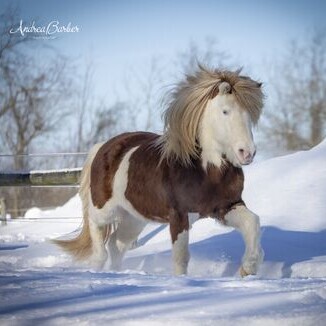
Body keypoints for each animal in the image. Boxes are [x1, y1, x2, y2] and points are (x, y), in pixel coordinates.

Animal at [54, 65, 264, 276]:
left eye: (250, 113)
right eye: (225, 111)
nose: (247, 152)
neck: (205, 172)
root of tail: (102, 146)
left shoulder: (226, 207)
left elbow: (252, 222)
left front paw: (248, 268)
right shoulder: (179, 216)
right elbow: (181, 257)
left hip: (134, 218)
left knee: (116, 244)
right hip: (104, 209)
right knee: (97, 232)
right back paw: (97, 268)